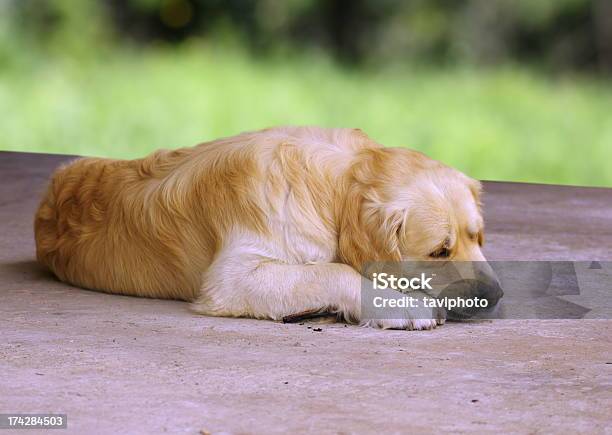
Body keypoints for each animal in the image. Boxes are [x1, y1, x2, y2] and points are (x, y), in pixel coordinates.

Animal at [34, 126, 502, 330]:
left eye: (477, 236)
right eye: (439, 252)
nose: (495, 296)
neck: (335, 183)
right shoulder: (233, 277)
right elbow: (334, 270)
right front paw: (401, 304)